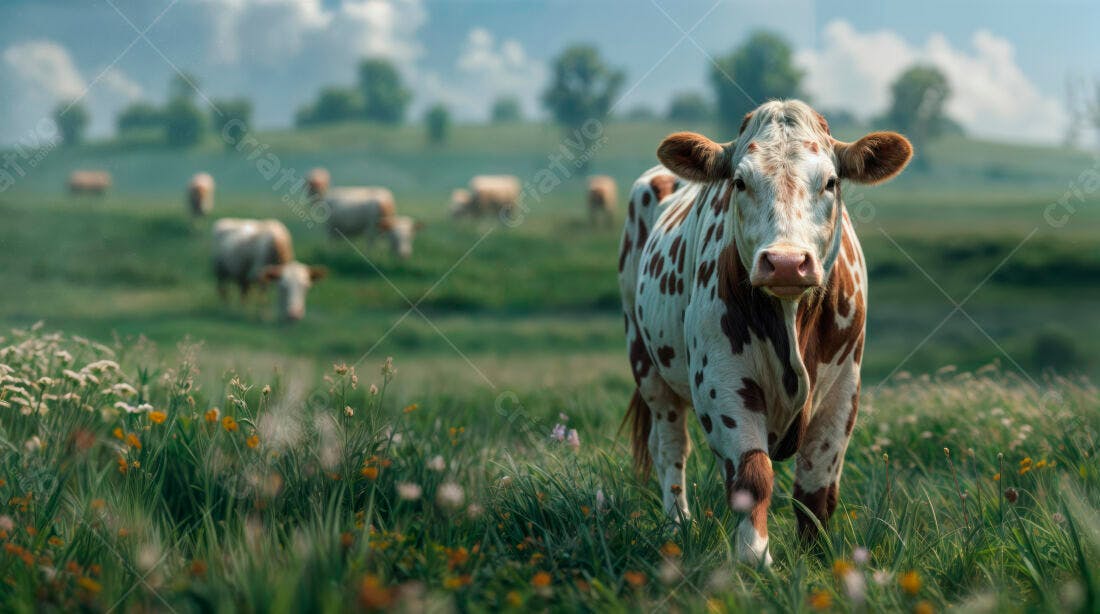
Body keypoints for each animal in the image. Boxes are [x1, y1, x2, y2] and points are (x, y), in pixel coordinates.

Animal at [618, 100, 912, 565]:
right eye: (739, 181)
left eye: (830, 181)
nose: (787, 263)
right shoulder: (721, 381)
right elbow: (752, 475)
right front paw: (753, 557)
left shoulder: (842, 390)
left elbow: (815, 489)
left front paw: (816, 560)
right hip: (646, 364)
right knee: (670, 448)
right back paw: (677, 525)